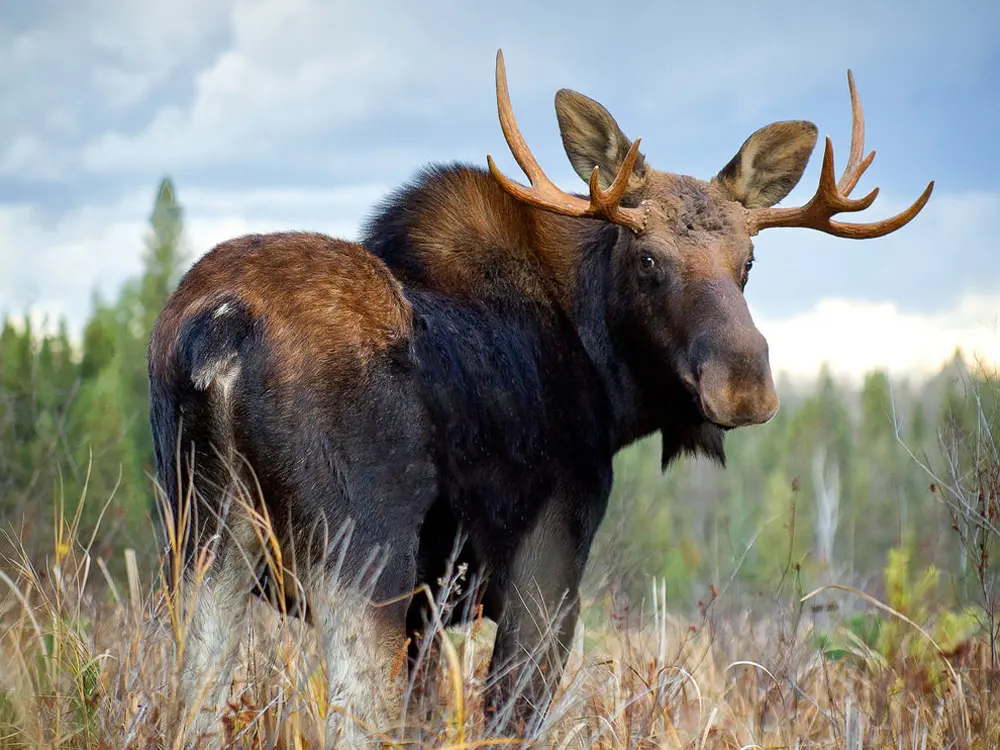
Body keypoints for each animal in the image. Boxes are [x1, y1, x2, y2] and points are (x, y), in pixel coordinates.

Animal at [147, 49, 933, 746]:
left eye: (748, 261)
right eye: (648, 260)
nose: (742, 381)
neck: (609, 389)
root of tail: (221, 332)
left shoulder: (432, 616)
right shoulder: (544, 581)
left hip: (199, 546)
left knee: (190, 707)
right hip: (361, 561)